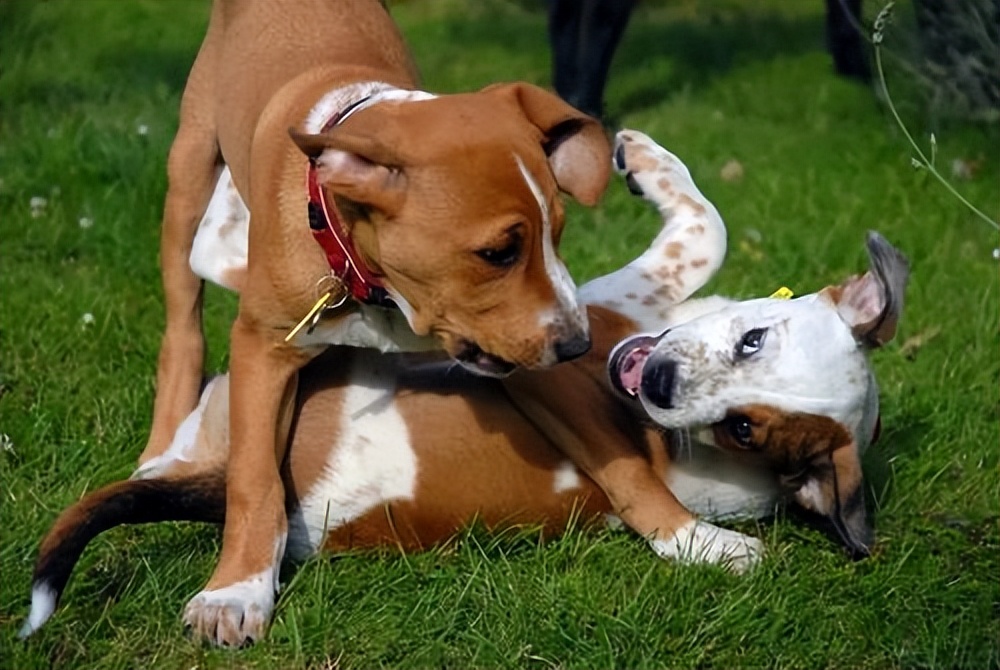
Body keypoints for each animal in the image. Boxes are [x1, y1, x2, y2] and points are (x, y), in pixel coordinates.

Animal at [23, 130, 908, 644]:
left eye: (743, 429)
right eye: (754, 340)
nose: (655, 384)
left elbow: (705, 231)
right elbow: (709, 225)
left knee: (217, 262)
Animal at [141, 0, 608, 644]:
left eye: (555, 234)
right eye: (498, 253)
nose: (576, 345)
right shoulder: (262, 348)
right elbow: (255, 477)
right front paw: (234, 592)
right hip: (190, 167)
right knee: (182, 322)